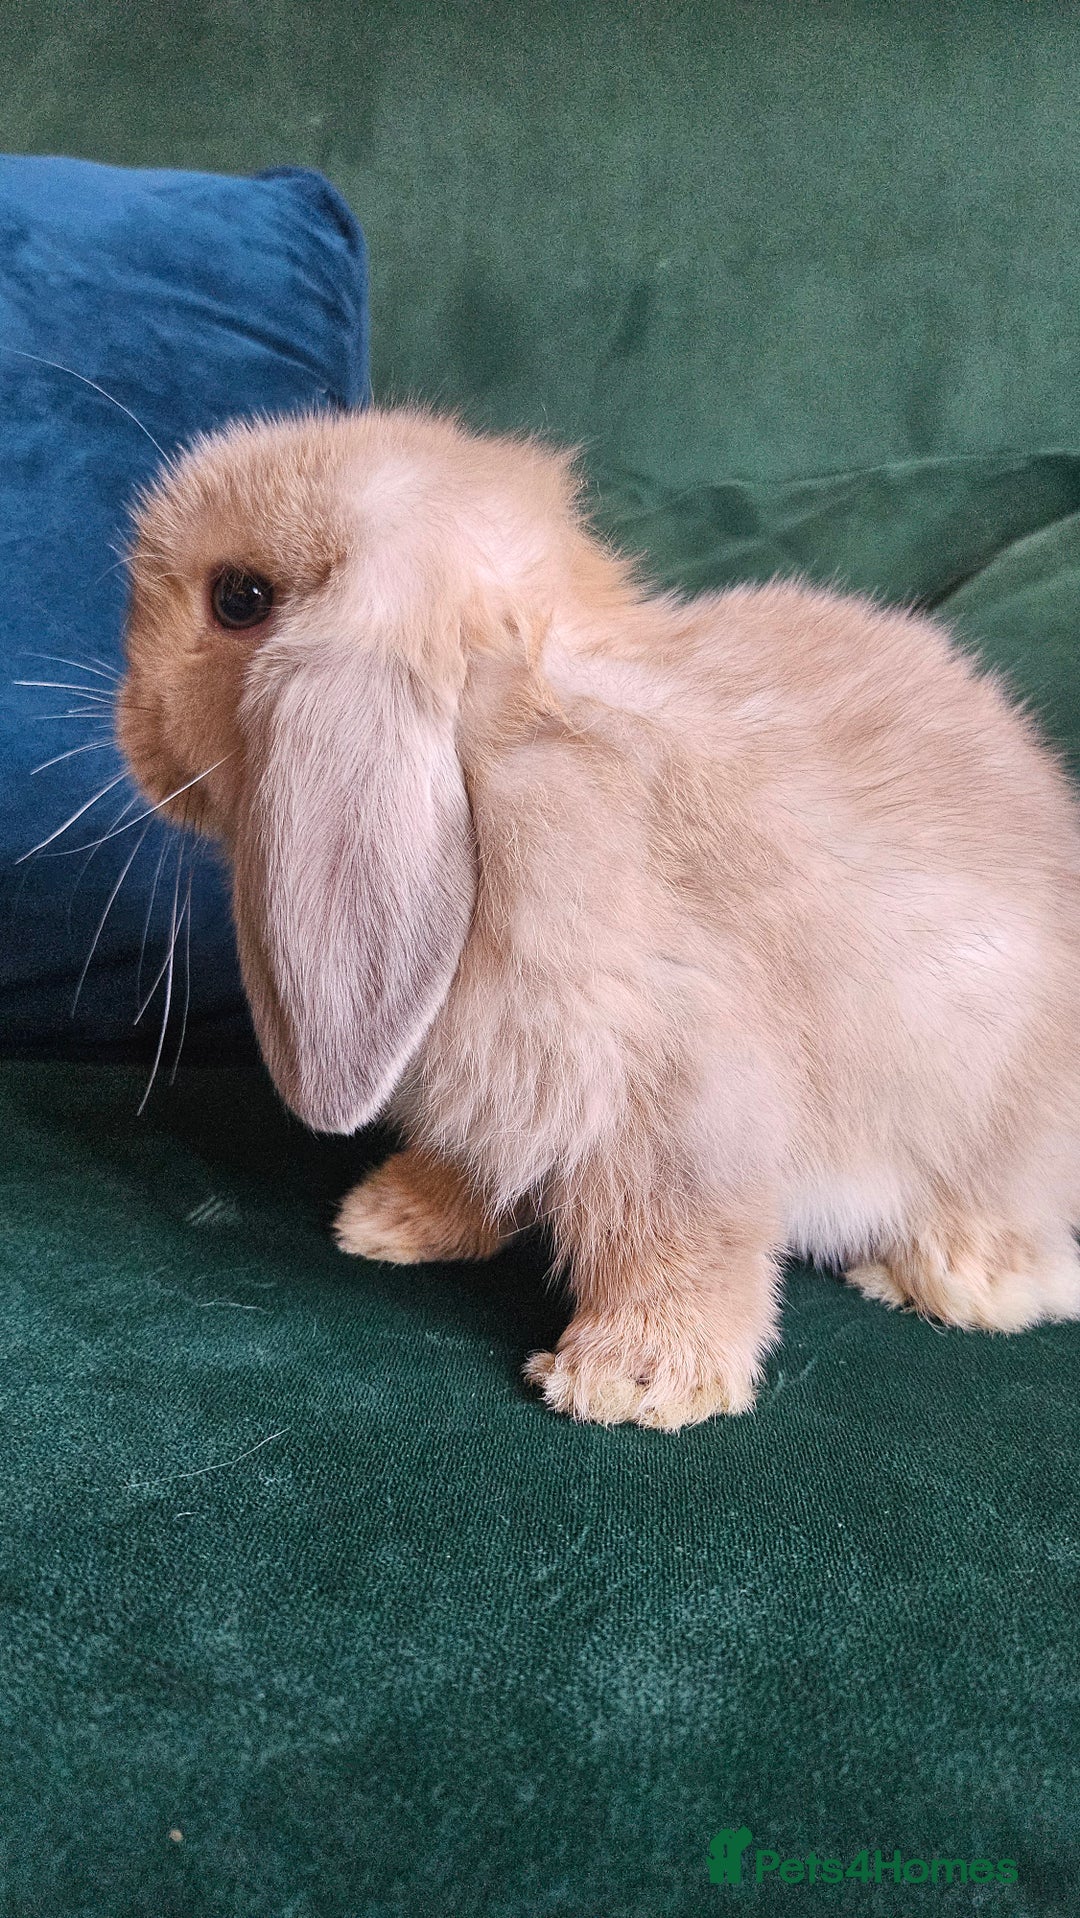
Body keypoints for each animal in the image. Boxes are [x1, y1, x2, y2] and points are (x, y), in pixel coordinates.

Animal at [118, 404, 1080, 1429]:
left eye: (241, 598)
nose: (131, 730)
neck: (496, 752)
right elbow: (480, 1169)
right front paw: (391, 1220)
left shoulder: (679, 1095)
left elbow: (675, 1237)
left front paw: (633, 1382)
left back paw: (952, 1282)